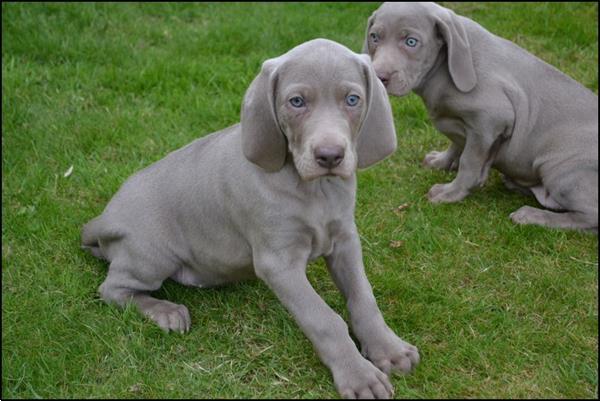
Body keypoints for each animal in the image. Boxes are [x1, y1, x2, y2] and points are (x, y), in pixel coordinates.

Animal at [82, 38, 420, 400]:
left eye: (352, 99)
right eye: (296, 102)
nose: (330, 156)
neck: (315, 191)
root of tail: (103, 218)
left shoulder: (344, 239)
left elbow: (363, 297)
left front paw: (388, 348)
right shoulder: (278, 263)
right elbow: (324, 319)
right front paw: (358, 375)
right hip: (153, 254)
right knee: (113, 288)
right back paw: (166, 312)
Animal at [364, 1, 596, 231]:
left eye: (411, 42)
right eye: (374, 37)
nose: (379, 77)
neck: (441, 70)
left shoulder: (490, 121)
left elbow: (469, 162)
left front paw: (450, 193)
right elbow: (456, 143)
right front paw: (441, 161)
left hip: (558, 167)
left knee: (590, 216)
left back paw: (532, 216)